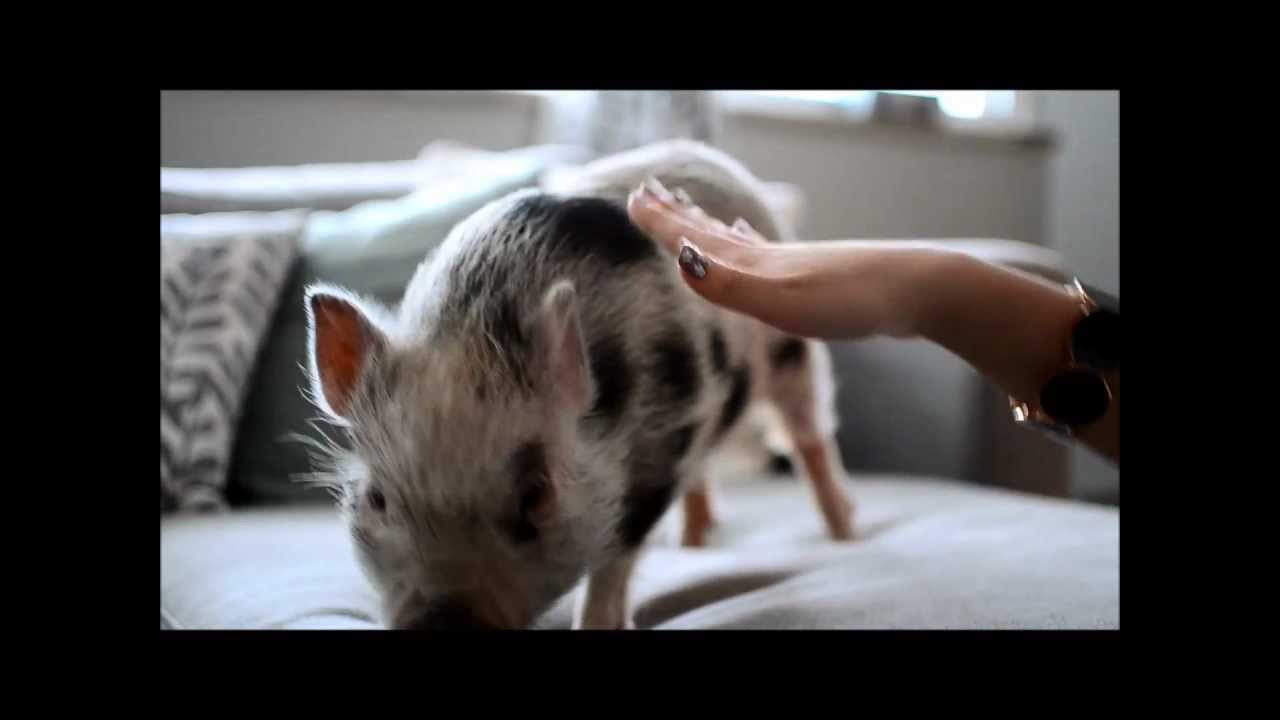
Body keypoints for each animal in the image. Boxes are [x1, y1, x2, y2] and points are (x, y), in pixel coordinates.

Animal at [304, 140, 855, 630]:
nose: (441, 620)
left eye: (536, 494)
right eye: (376, 498)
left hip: (791, 350)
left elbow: (615, 561)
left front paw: (601, 622)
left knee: (808, 435)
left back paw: (843, 534)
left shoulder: (661, 447)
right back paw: (693, 543)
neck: (478, 321)